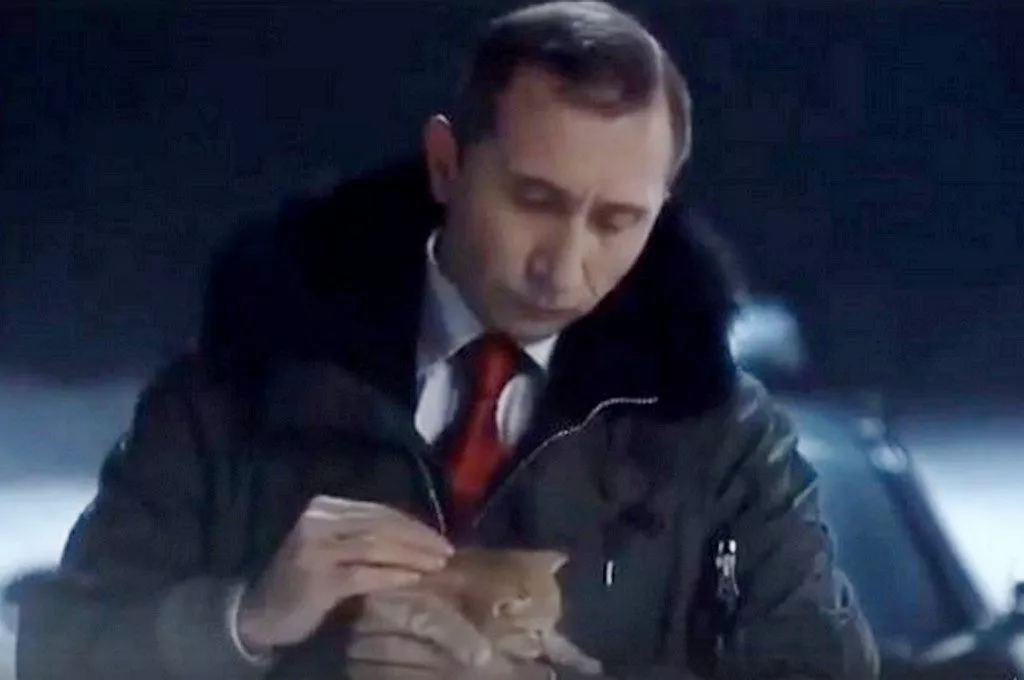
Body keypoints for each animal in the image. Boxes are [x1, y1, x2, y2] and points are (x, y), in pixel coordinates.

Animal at [406, 547, 603, 675]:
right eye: (535, 633)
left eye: (547, 629)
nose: (541, 652)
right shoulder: (416, 592)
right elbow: (435, 611)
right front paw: (475, 646)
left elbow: (559, 643)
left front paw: (582, 660)